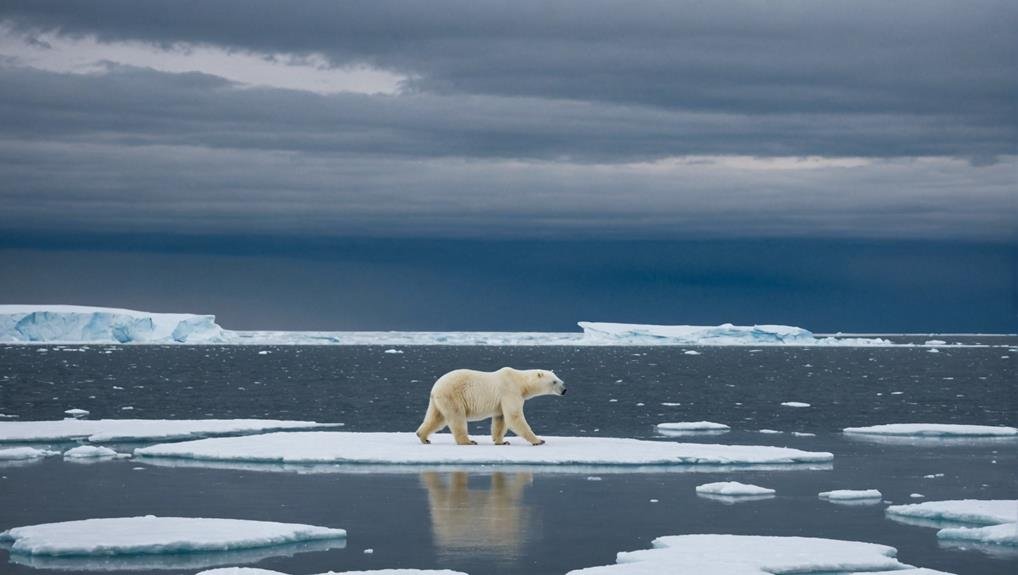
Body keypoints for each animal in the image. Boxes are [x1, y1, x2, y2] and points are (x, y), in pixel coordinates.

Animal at [417, 366, 570, 445]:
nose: (564, 390)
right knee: (457, 418)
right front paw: (539, 440)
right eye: (554, 382)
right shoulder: (510, 392)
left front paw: (501, 441)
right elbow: (514, 417)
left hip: (439, 400)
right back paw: (468, 441)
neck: (520, 383)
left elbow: (500, 420)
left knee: (436, 418)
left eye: (560, 380)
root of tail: (435, 387)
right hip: (453, 396)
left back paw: (423, 437)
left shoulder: (501, 401)